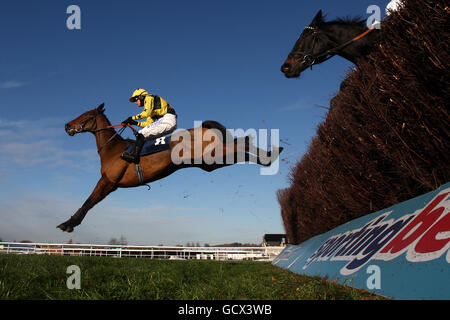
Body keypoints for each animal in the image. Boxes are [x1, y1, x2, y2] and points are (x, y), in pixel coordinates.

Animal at [58, 104, 284, 231]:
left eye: (85, 115)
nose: (67, 126)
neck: (112, 149)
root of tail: (203, 128)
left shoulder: (108, 181)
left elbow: (89, 202)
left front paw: (69, 223)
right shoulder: (110, 184)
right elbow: (90, 202)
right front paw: (70, 223)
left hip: (214, 155)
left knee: (241, 144)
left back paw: (271, 152)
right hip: (211, 162)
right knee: (239, 150)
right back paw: (269, 157)